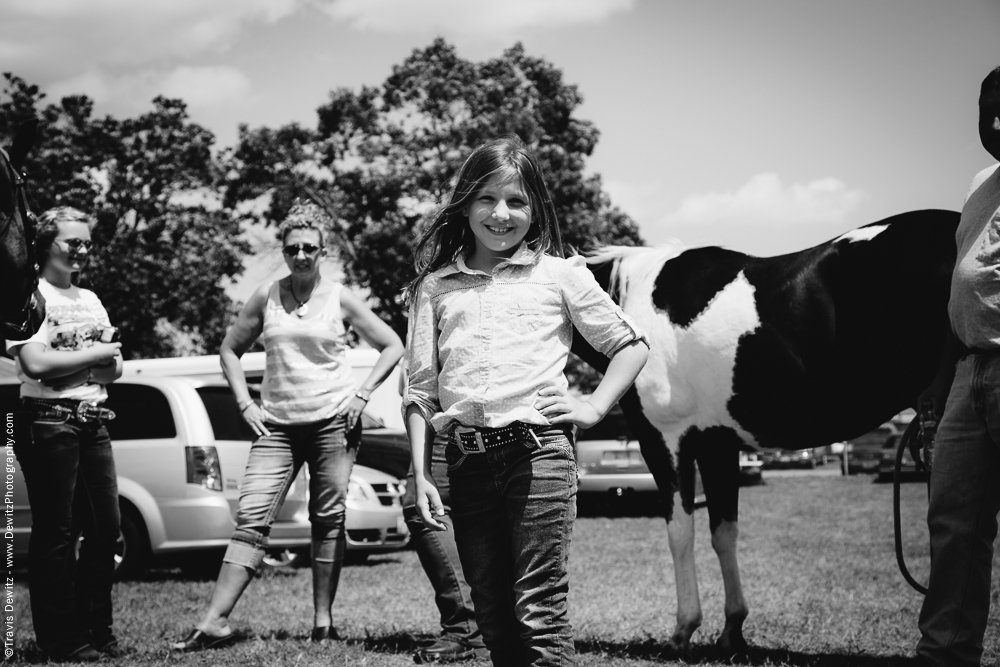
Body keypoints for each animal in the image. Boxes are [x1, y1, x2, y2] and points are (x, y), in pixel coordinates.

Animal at [572, 210, 960, 656]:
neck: (633, 303)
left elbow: (680, 533)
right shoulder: (717, 445)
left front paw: (683, 630)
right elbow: (724, 533)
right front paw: (731, 630)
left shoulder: (665, 442)